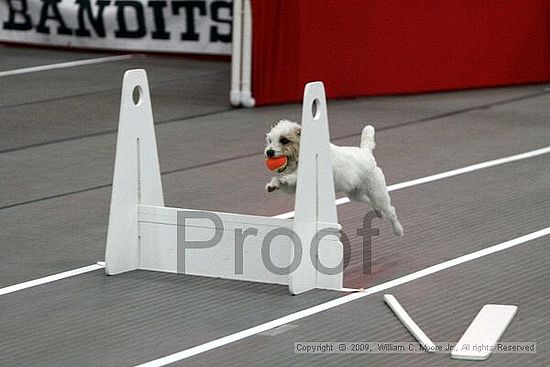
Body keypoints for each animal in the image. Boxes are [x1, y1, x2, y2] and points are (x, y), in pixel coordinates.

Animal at [266, 119, 404, 237]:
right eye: (270, 140)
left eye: (284, 140)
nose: (269, 152)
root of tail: (366, 152)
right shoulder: (294, 188)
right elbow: (282, 180)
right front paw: (273, 184)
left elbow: (294, 176)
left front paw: (285, 178)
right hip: (356, 195)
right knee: (370, 202)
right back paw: (378, 213)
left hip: (377, 193)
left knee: (391, 210)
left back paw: (398, 230)